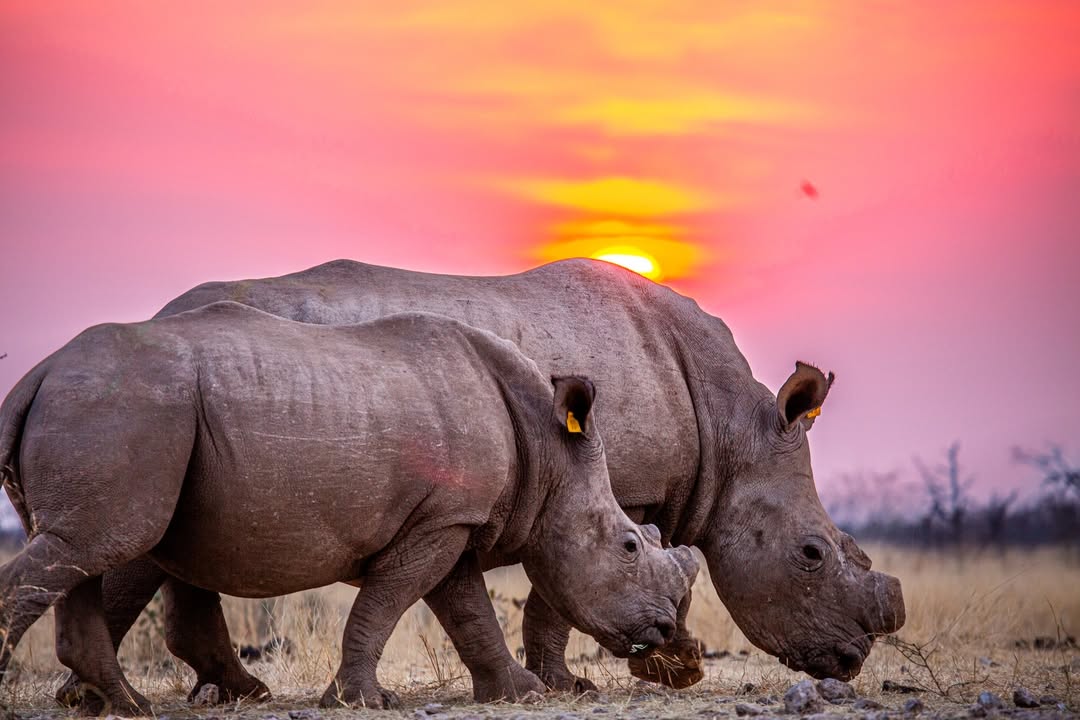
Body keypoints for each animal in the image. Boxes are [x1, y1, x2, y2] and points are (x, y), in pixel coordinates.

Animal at [0, 304, 699, 714]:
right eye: (629, 546)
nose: (666, 633)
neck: (550, 452)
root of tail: (37, 374)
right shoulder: (440, 521)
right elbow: (389, 603)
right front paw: (363, 701)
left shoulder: (449, 517)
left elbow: (467, 611)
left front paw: (516, 695)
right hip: (121, 407)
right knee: (96, 547)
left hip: (121, 412)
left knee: (84, 552)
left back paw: (132, 705)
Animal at [55, 258, 904, 701]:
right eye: (812, 556)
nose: (851, 663)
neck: (732, 437)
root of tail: (162, 312)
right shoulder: (618, 487)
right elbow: (565, 593)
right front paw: (608, 679)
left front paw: (578, 681)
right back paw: (99, 698)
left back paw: (206, 694)